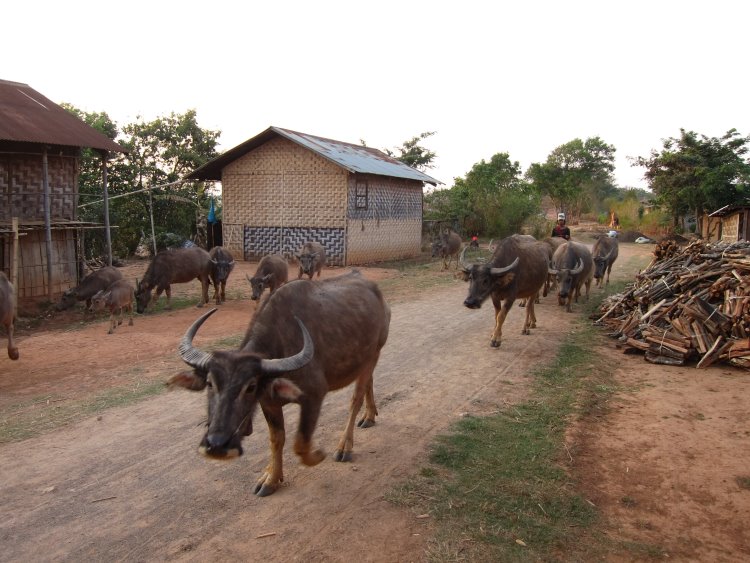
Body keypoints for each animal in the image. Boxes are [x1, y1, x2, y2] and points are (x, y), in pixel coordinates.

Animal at [169, 274, 394, 498]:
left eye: (250, 386)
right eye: (210, 383)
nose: (217, 445)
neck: (281, 343)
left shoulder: (314, 395)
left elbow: (301, 444)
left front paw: (318, 454)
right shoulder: (269, 403)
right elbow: (277, 439)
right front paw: (271, 477)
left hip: (374, 354)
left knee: (355, 399)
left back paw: (345, 446)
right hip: (365, 361)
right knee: (368, 382)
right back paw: (369, 416)